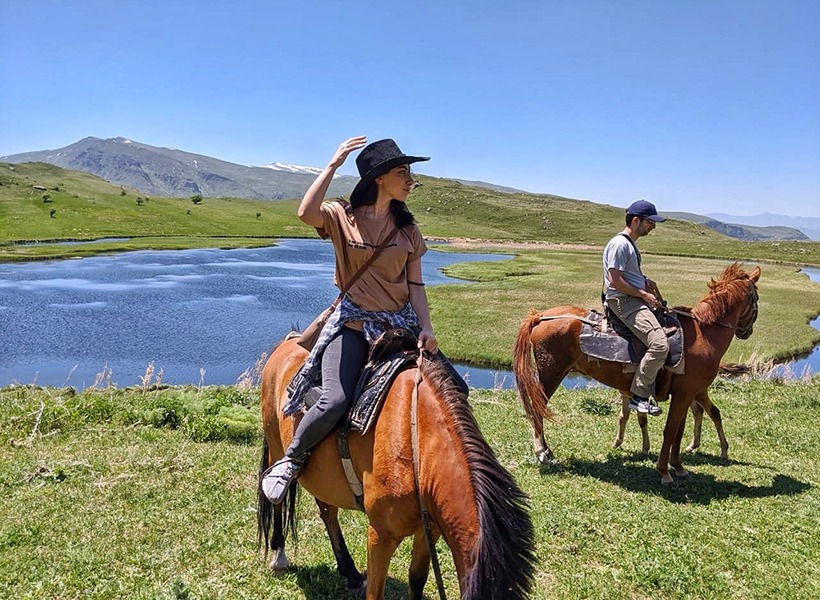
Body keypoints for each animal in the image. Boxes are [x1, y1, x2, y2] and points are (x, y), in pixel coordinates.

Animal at [258, 336, 540, 596]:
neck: (416, 444)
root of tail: (288, 342)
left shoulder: (429, 528)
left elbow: (417, 579)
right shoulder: (380, 536)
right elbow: (376, 592)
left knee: (327, 511)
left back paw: (350, 573)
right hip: (277, 448)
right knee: (277, 499)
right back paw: (280, 556)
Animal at [512, 262, 764, 482]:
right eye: (757, 297)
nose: (748, 331)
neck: (704, 335)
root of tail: (540, 317)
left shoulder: (686, 394)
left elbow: (678, 431)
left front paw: (679, 466)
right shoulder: (685, 394)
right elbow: (670, 431)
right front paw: (664, 471)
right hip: (551, 374)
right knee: (538, 409)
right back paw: (542, 453)